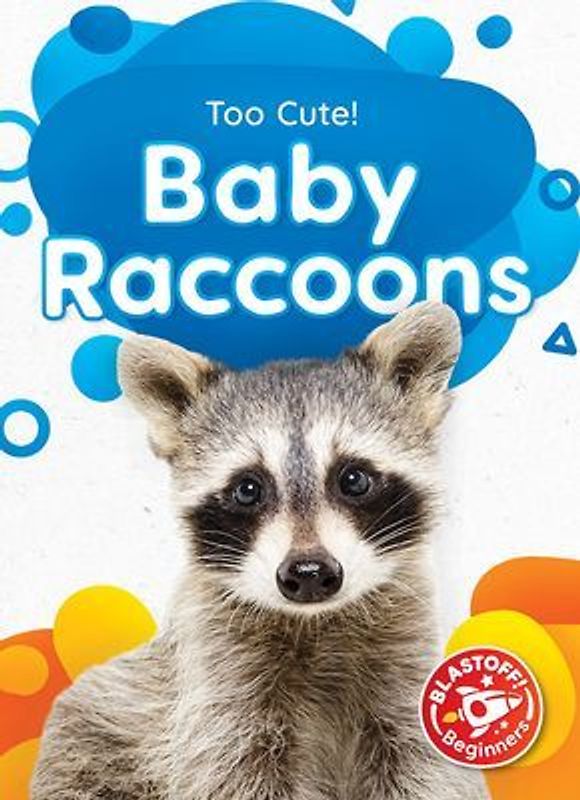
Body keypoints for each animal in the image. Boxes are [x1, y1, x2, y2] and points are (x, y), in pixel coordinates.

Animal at [32, 301, 487, 800]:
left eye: (354, 479)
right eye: (248, 489)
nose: (309, 572)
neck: (316, 622)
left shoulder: (405, 666)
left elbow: (426, 764)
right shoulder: (218, 681)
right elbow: (232, 770)